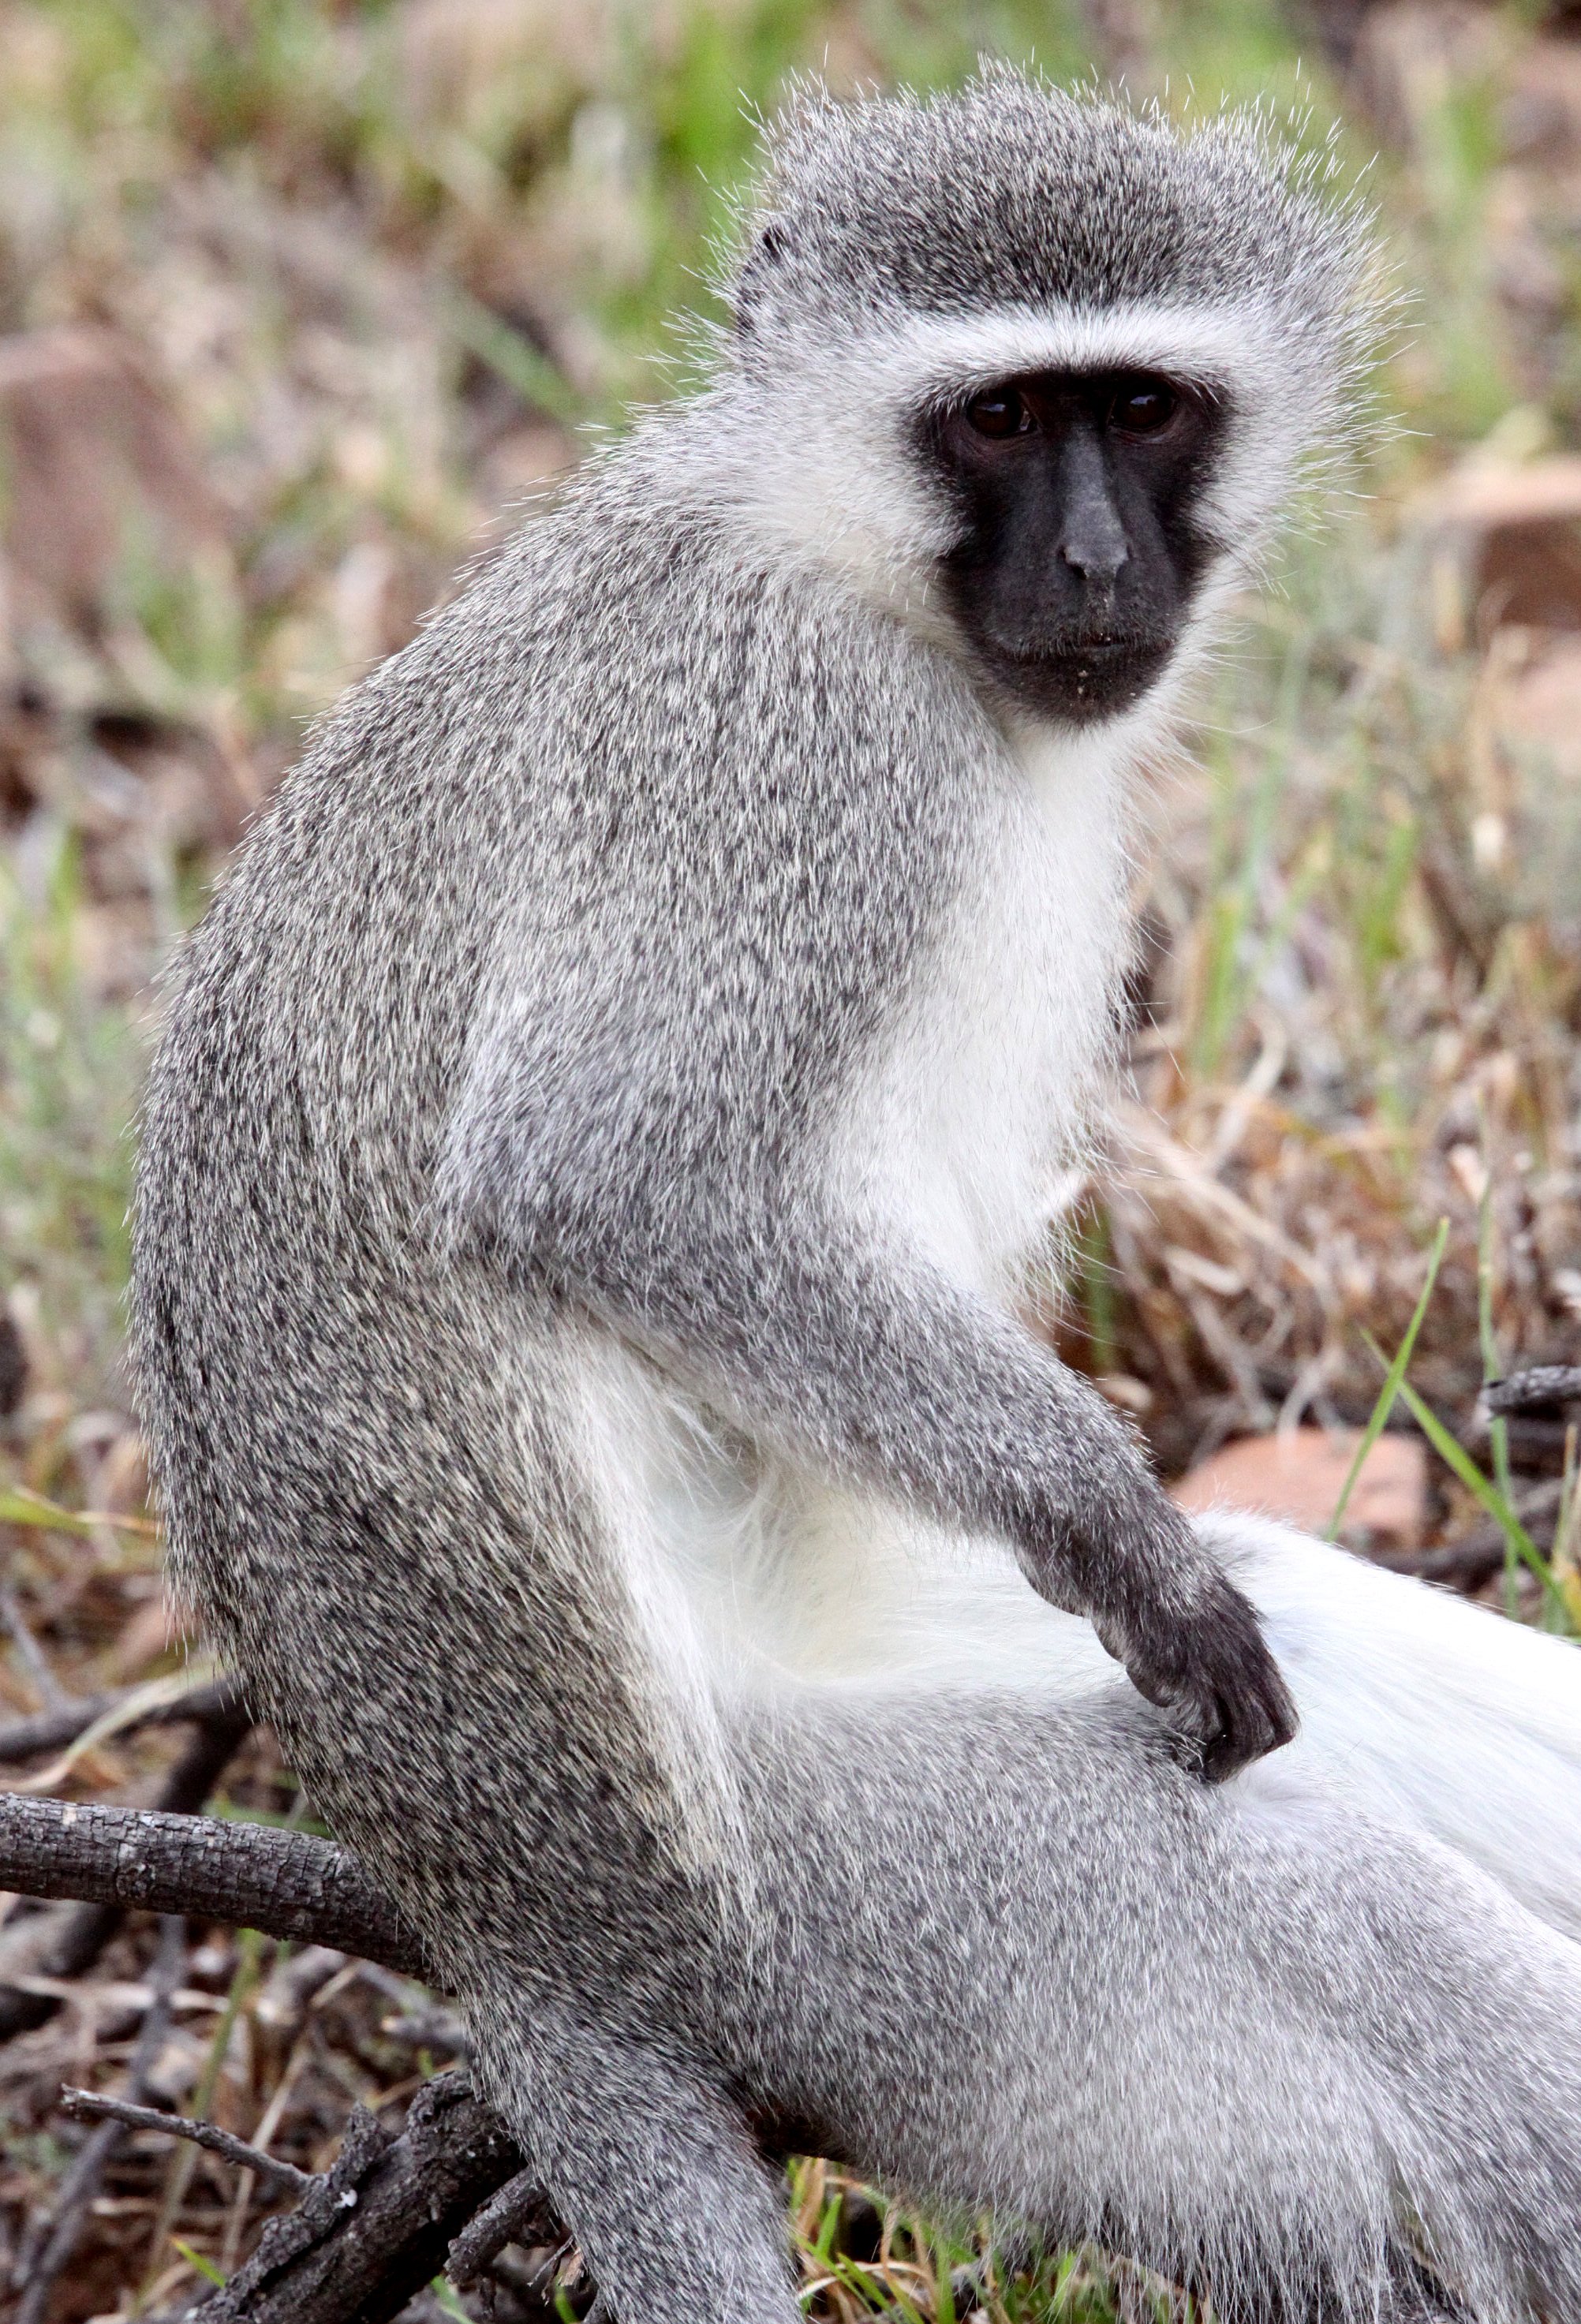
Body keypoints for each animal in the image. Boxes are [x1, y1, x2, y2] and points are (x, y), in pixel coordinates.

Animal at [131, 69, 1581, 2324]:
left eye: (1139, 408)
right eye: (996, 421)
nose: (1092, 553)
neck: (847, 558)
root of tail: (501, 1910)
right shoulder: (805, 744)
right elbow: (605, 1177)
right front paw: (1117, 1523)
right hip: (873, 1916)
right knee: (1333, 1903)